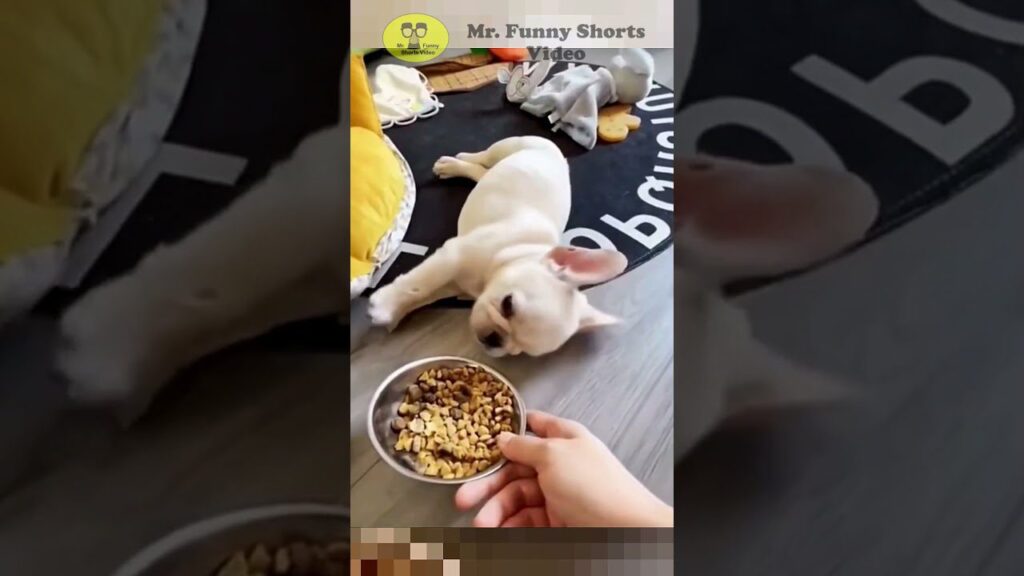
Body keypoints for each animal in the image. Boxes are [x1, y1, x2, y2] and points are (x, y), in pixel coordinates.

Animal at [368, 136, 622, 356]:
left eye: (520, 351)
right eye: (508, 305)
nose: (494, 339)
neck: (518, 250)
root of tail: (557, 151)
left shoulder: (454, 284)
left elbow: (424, 295)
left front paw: (395, 311)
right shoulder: (452, 257)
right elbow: (420, 284)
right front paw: (386, 305)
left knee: (482, 173)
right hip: (507, 146)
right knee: (484, 157)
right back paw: (454, 162)